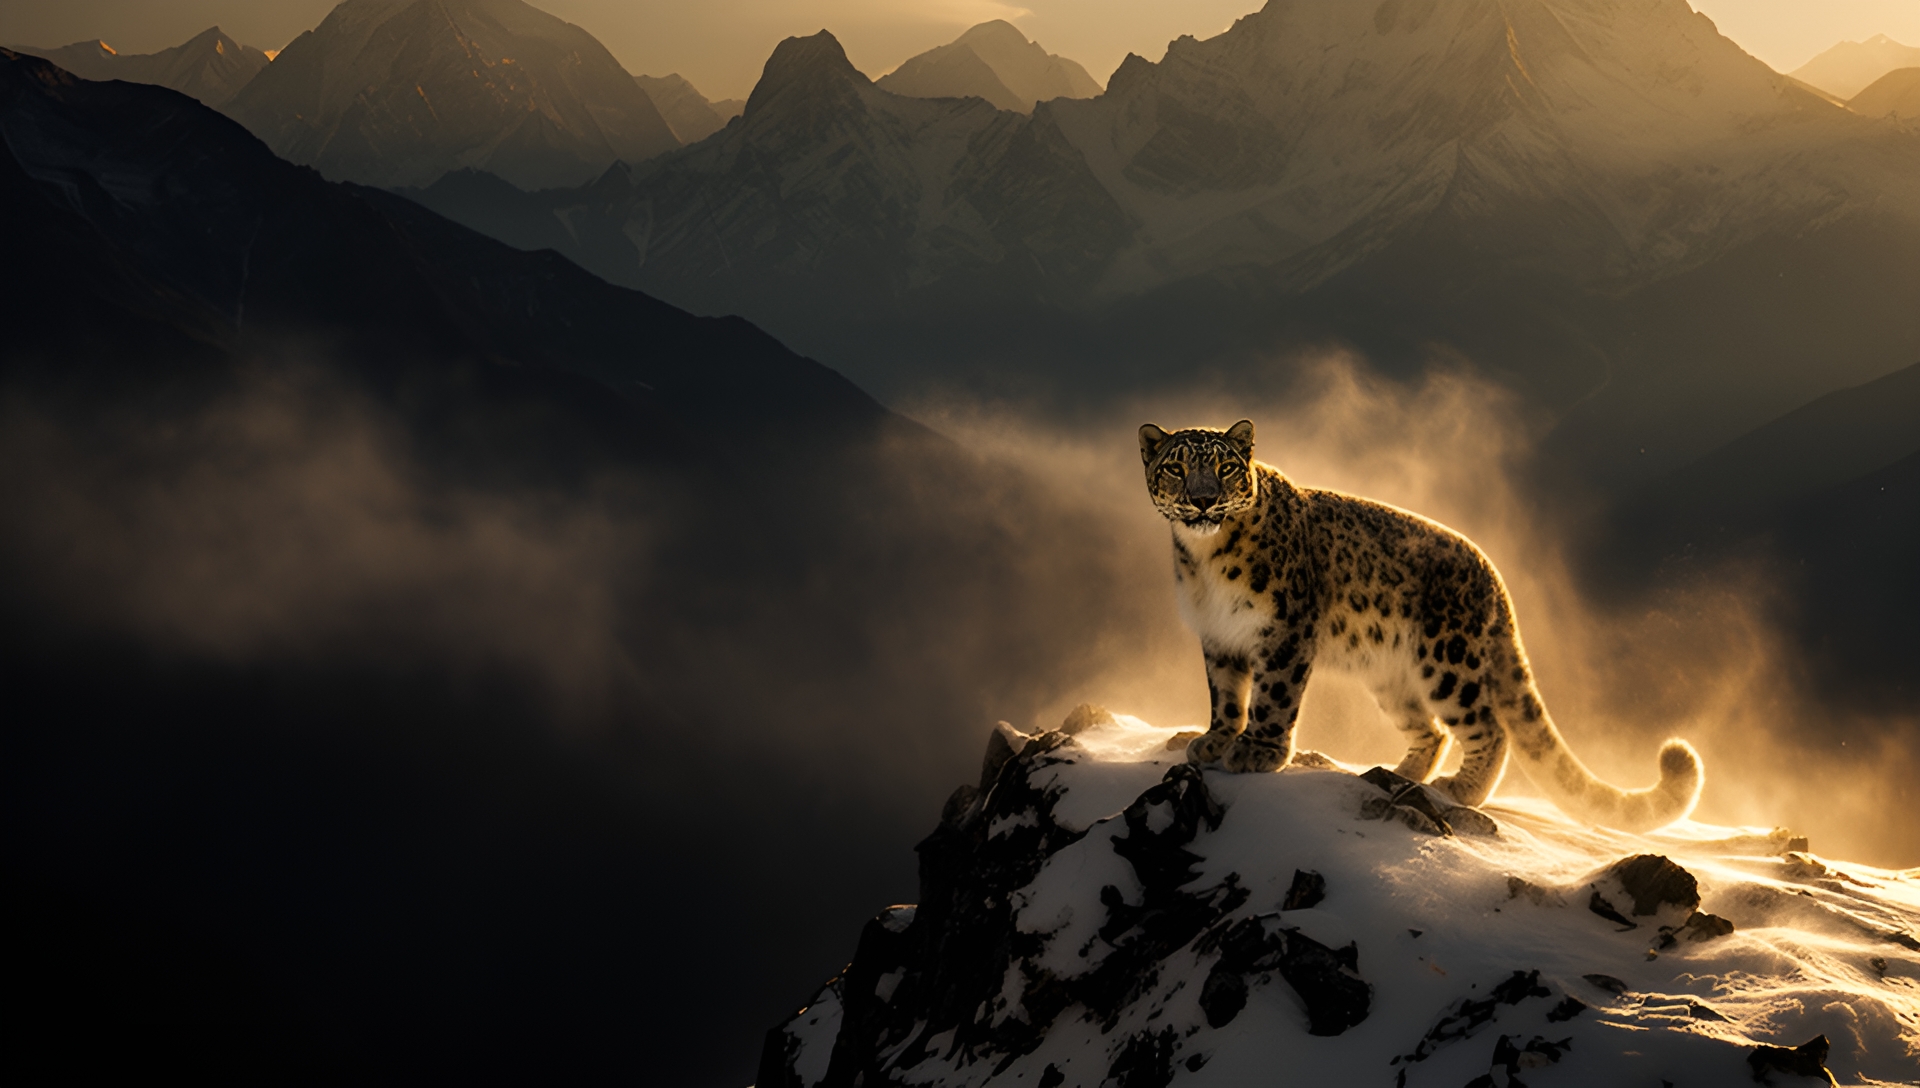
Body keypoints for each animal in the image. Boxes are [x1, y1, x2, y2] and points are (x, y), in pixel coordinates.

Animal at [1139, 419, 1704, 832]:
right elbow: (1227, 696)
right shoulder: (1219, 637)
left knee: (1488, 726)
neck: (1206, 560)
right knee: (1429, 730)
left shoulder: (1285, 631)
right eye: (1176, 467)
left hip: (1446, 660)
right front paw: (1214, 740)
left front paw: (1258, 752)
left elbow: (1273, 697)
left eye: (1225, 466)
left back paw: (1460, 789)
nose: (1204, 500)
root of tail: (1495, 578)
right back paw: (1396, 774)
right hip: (1390, 677)